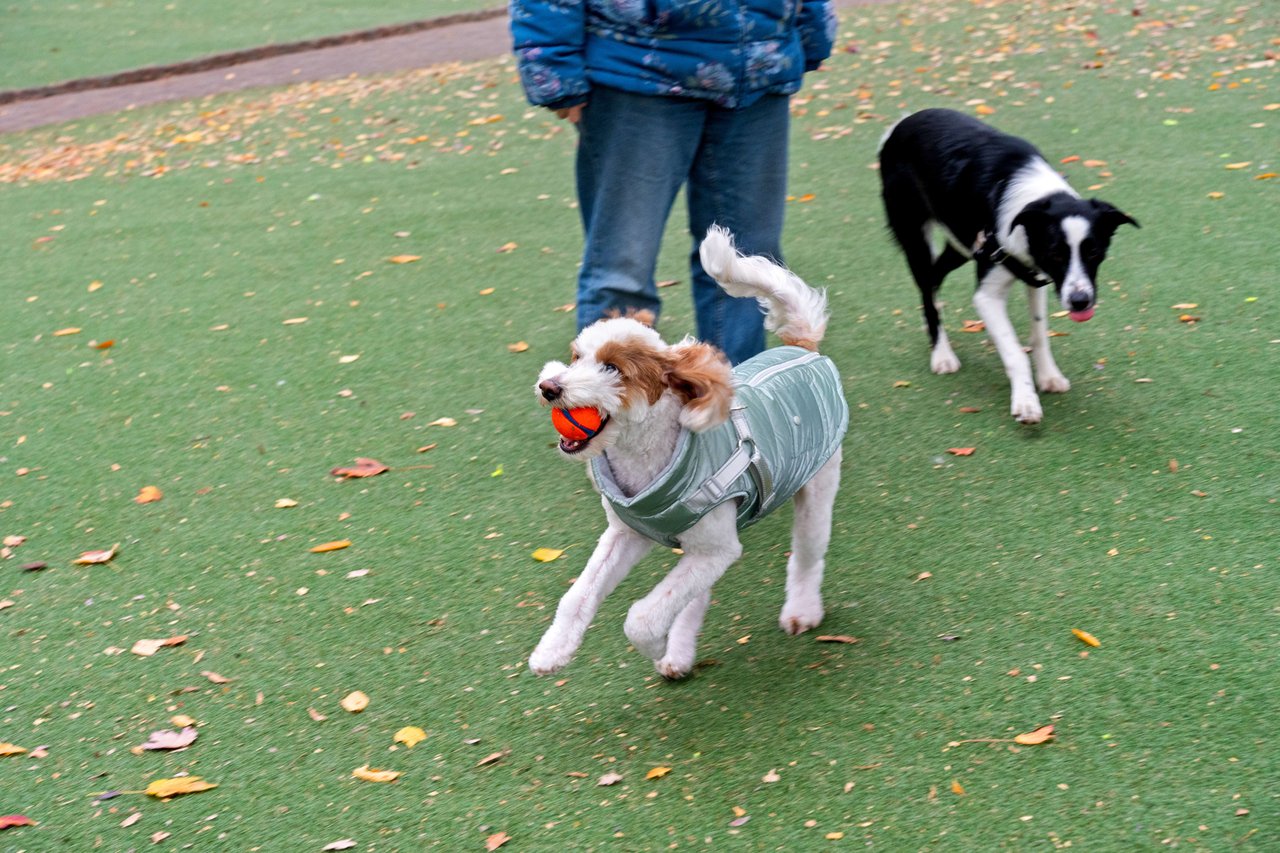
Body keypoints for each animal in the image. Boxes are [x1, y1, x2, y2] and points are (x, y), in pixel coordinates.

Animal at [529, 225, 849, 676]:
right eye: (576, 358)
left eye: (612, 368)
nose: (549, 387)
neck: (645, 464)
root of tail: (803, 347)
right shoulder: (629, 534)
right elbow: (579, 595)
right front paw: (553, 650)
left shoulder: (717, 548)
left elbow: (642, 617)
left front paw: (651, 645)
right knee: (695, 596)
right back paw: (679, 652)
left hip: (815, 492)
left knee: (805, 556)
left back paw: (801, 611)